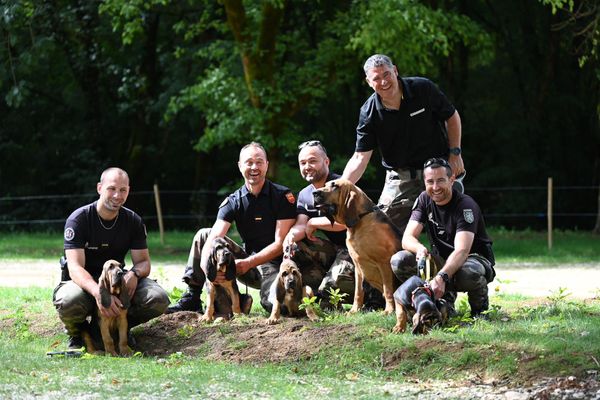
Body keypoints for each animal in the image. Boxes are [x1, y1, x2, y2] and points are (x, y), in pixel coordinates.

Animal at [312, 180, 400, 314]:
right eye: (326, 184)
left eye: (334, 185)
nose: (314, 193)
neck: (361, 218)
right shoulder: (358, 267)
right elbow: (358, 291)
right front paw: (354, 310)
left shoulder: (384, 263)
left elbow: (388, 289)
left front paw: (389, 311)